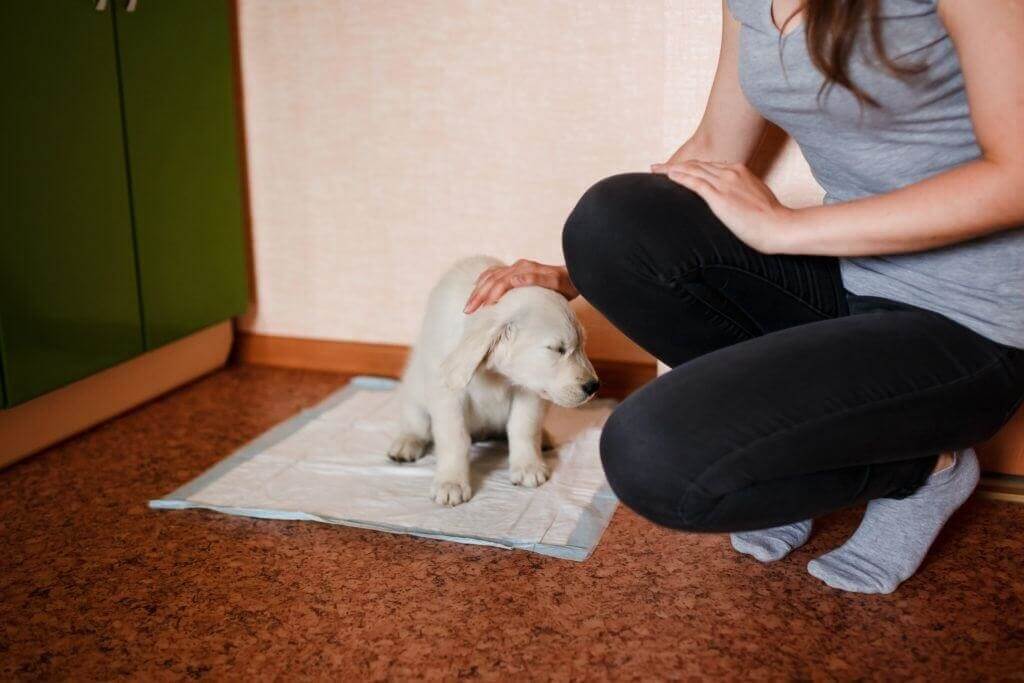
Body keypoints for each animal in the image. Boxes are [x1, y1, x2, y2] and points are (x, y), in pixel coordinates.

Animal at [389, 255, 598, 507]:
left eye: (583, 345)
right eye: (557, 349)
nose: (594, 386)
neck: (496, 374)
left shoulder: (529, 390)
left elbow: (524, 427)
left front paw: (528, 467)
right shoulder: (447, 393)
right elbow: (453, 438)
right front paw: (451, 483)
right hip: (414, 389)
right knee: (415, 421)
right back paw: (406, 443)